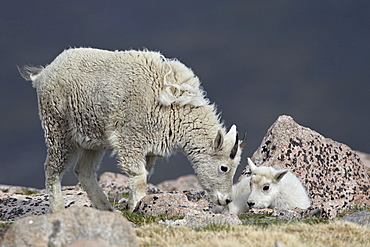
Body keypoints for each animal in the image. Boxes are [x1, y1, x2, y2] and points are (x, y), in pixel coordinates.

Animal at [19, 47, 246, 212]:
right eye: (224, 167)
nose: (226, 200)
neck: (175, 110)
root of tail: (43, 74)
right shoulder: (130, 138)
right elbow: (138, 176)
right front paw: (136, 206)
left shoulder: (150, 148)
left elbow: (145, 173)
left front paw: (133, 205)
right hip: (57, 126)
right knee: (52, 168)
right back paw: (57, 208)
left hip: (92, 138)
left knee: (83, 171)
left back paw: (106, 208)